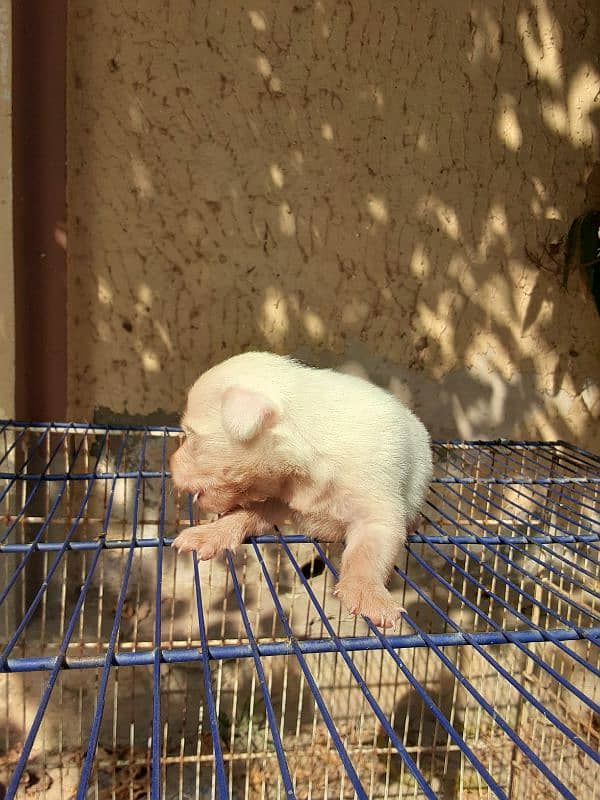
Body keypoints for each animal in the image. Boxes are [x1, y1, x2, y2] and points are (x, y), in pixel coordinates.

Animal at [171, 354, 434, 628]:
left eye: (191, 436)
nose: (170, 464)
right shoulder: (276, 499)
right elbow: (243, 514)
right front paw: (209, 533)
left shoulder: (377, 514)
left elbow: (366, 555)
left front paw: (367, 594)